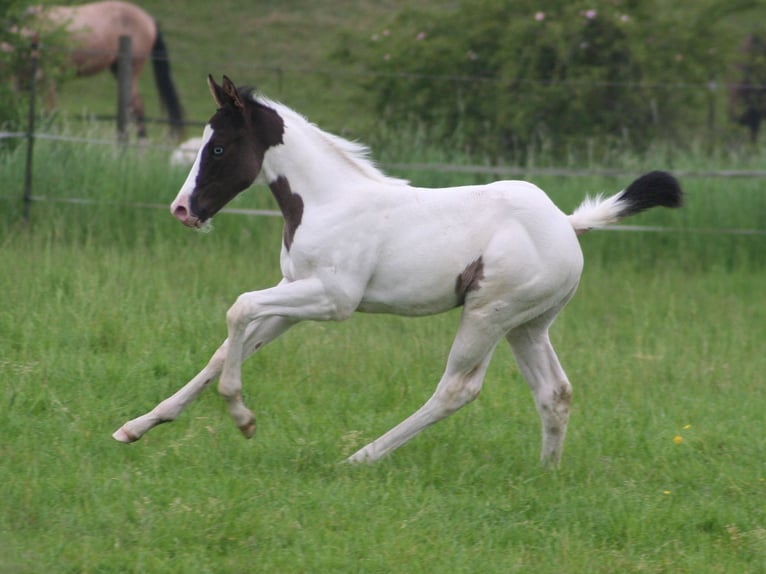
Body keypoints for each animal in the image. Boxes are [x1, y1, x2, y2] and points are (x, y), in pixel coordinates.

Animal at [109, 75, 684, 468]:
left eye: (219, 147)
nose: (183, 209)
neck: (327, 201)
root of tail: (567, 222)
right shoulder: (294, 293)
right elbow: (228, 344)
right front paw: (137, 426)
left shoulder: (332, 300)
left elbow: (238, 308)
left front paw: (243, 418)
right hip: (528, 325)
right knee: (555, 392)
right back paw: (547, 474)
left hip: (488, 314)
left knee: (456, 390)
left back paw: (359, 458)